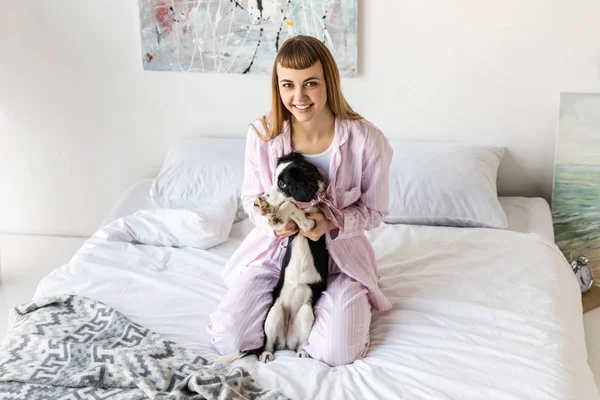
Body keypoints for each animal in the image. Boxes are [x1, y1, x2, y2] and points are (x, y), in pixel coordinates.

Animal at [252, 152, 328, 362]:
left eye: (283, 184)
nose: (263, 196)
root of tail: (286, 342)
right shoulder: (288, 227)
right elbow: (285, 209)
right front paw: (265, 208)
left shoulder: (312, 225)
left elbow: (290, 204)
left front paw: (278, 210)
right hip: (274, 312)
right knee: (269, 342)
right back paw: (266, 354)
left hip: (306, 312)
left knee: (301, 342)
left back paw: (302, 352)